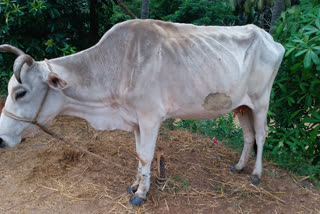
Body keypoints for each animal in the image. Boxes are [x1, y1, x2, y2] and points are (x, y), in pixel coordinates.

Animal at [0, 19, 284, 206]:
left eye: (21, 92)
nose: (1, 139)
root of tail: (270, 39)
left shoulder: (150, 118)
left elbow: (147, 156)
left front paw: (141, 195)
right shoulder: (135, 121)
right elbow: (139, 155)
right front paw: (136, 184)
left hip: (261, 101)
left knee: (261, 134)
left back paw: (256, 174)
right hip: (241, 105)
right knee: (248, 135)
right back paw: (239, 166)